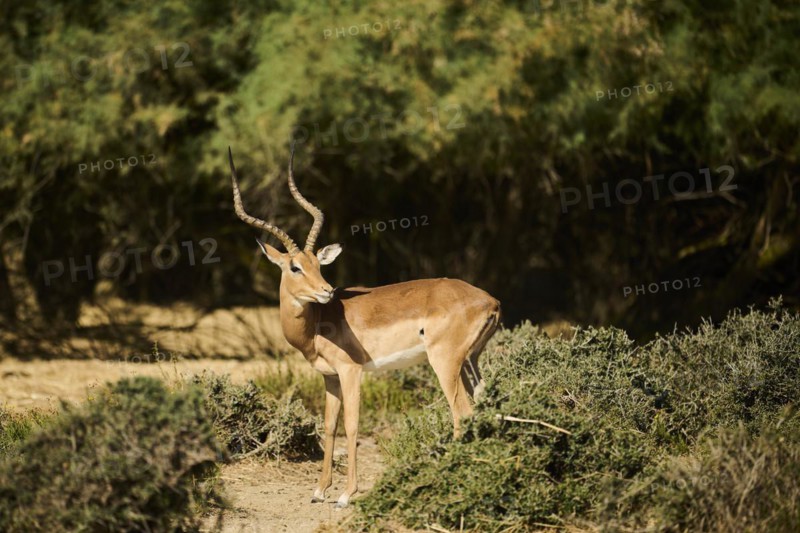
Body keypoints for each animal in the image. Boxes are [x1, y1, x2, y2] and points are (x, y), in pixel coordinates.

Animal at [228, 144, 501, 507]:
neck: (318, 323)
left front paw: (346, 494)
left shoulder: (351, 371)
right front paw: (319, 491)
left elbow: (352, 426)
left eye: (317, 264)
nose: (327, 290)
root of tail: (490, 301)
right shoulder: (330, 377)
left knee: (462, 412)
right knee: (482, 408)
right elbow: (329, 426)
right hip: (471, 363)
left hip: (445, 363)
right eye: (296, 267)